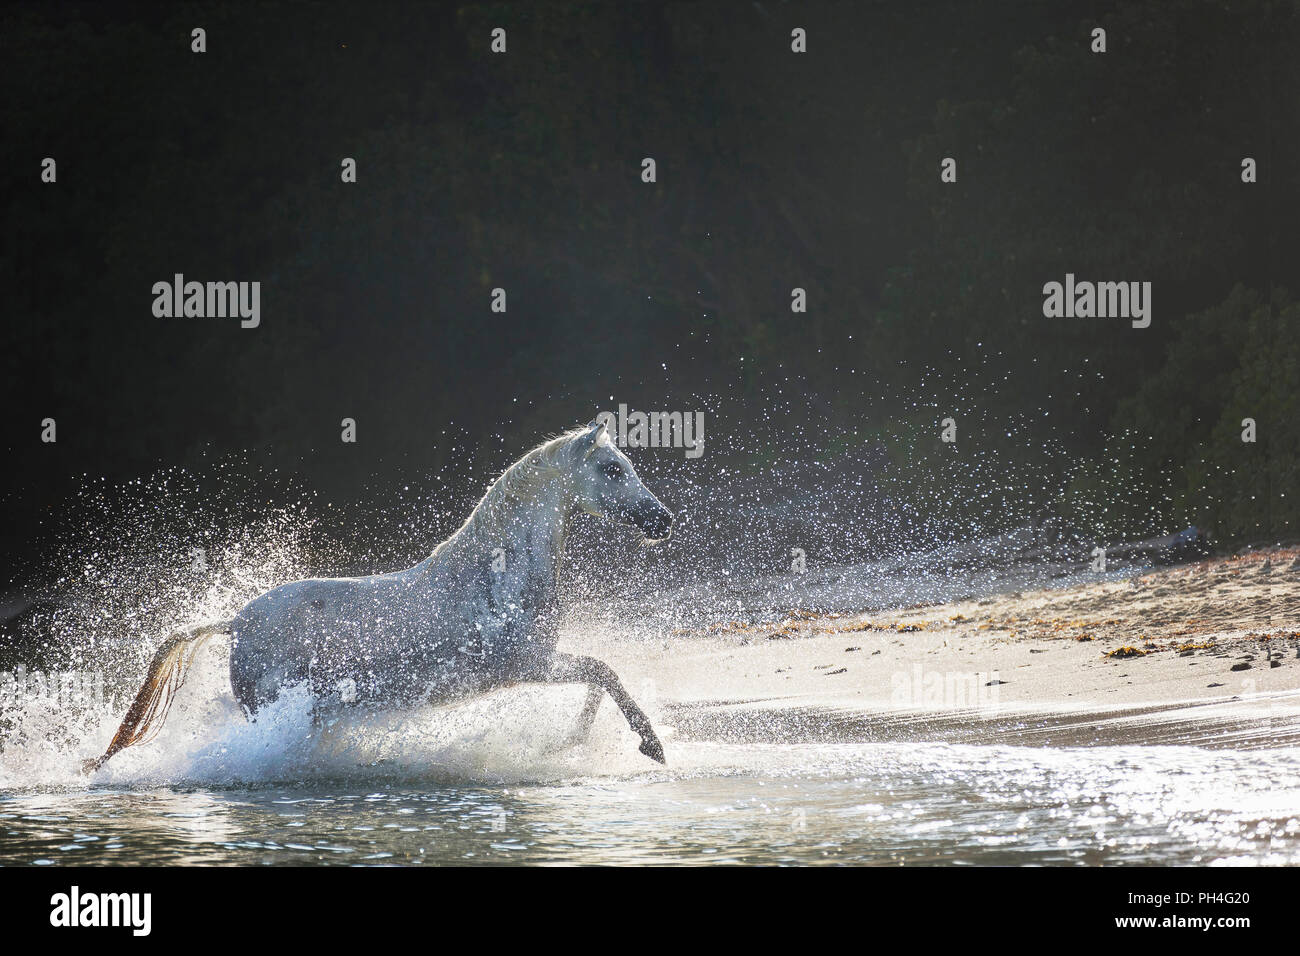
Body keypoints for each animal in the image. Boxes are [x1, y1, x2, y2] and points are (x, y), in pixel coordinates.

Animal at [82, 421, 676, 775]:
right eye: (612, 469)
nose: (663, 520)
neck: (496, 574)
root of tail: (235, 621)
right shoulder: (527, 664)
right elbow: (604, 671)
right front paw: (650, 746)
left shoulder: (536, 664)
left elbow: (599, 677)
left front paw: (573, 744)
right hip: (277, 709)